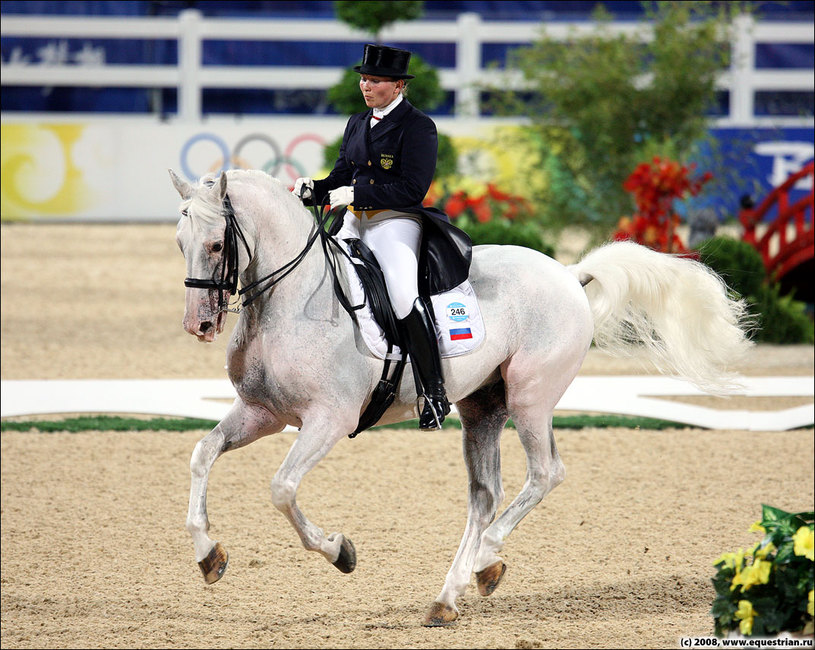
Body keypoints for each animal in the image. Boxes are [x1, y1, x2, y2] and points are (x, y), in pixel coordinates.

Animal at [171, 166, 752, 624]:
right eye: (180, 242)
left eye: (217, 244)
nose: (199, 326)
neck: (292, 301)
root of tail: (568, 273)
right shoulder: (262, 413)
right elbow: (202, 454)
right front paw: (209, 555)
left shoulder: (328, 419)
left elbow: (282, 488)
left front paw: (341, 552)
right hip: (482, 407)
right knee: (485, 496)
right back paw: (450, 596)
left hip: (530, 400)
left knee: (545, 474)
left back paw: (485, 560)